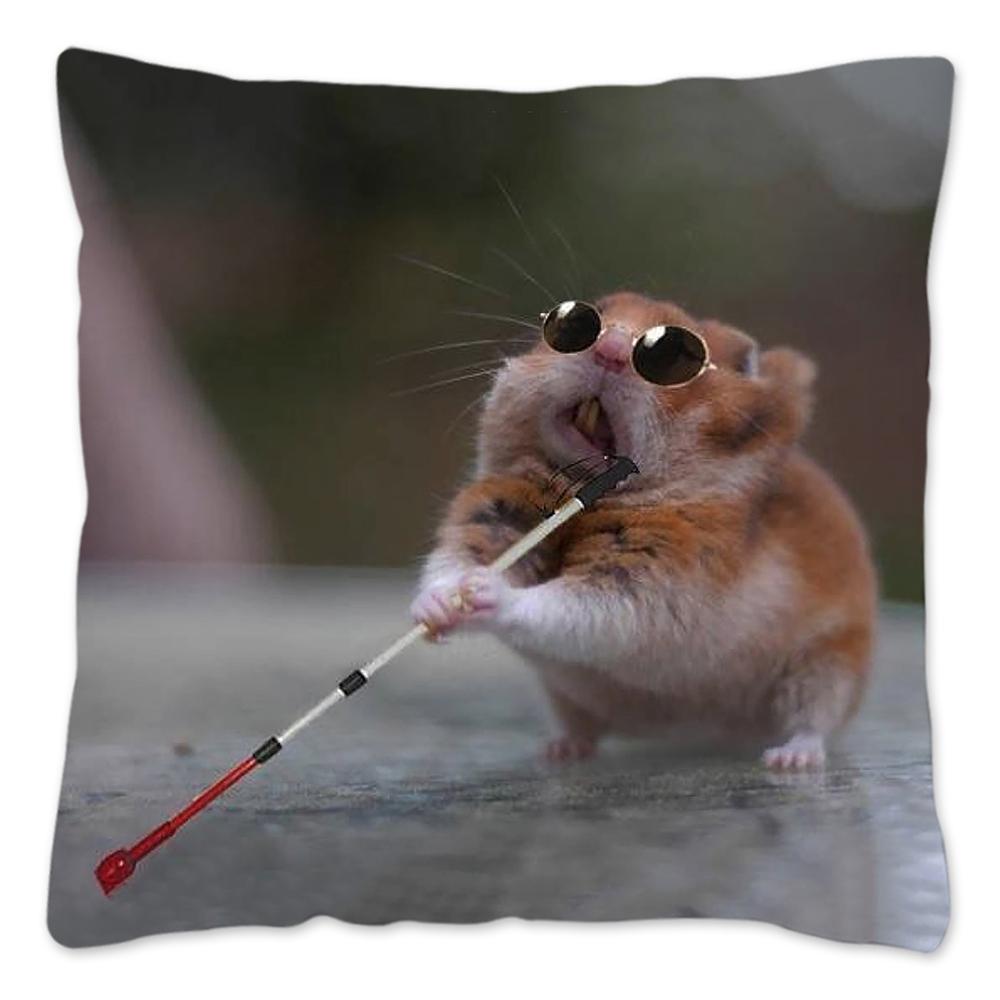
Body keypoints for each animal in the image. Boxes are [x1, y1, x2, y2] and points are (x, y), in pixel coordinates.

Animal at [411, 291, 876, 770]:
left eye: (676, 357)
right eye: (579, 321)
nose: (610, 350)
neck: (578, 494)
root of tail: (716, 732)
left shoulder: (650, 582)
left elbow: (563, 605)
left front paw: (485, 592)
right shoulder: (490, 517)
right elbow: (452, 564)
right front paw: (436, 608)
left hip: (828, 664)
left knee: (814, 720)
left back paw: (788, 758)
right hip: (566, 696)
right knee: (584, 728)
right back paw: (560, 750)